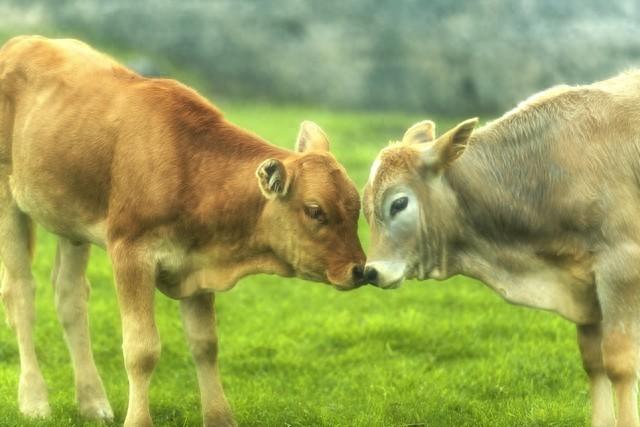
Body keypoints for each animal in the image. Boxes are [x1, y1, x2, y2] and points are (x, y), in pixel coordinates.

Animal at [362, 72, 640, 426]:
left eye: (399, 203)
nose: (371, 271)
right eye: (365, 209)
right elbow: (593, 361)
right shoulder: (583, 285)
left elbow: (620, 363)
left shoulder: (622, 266)